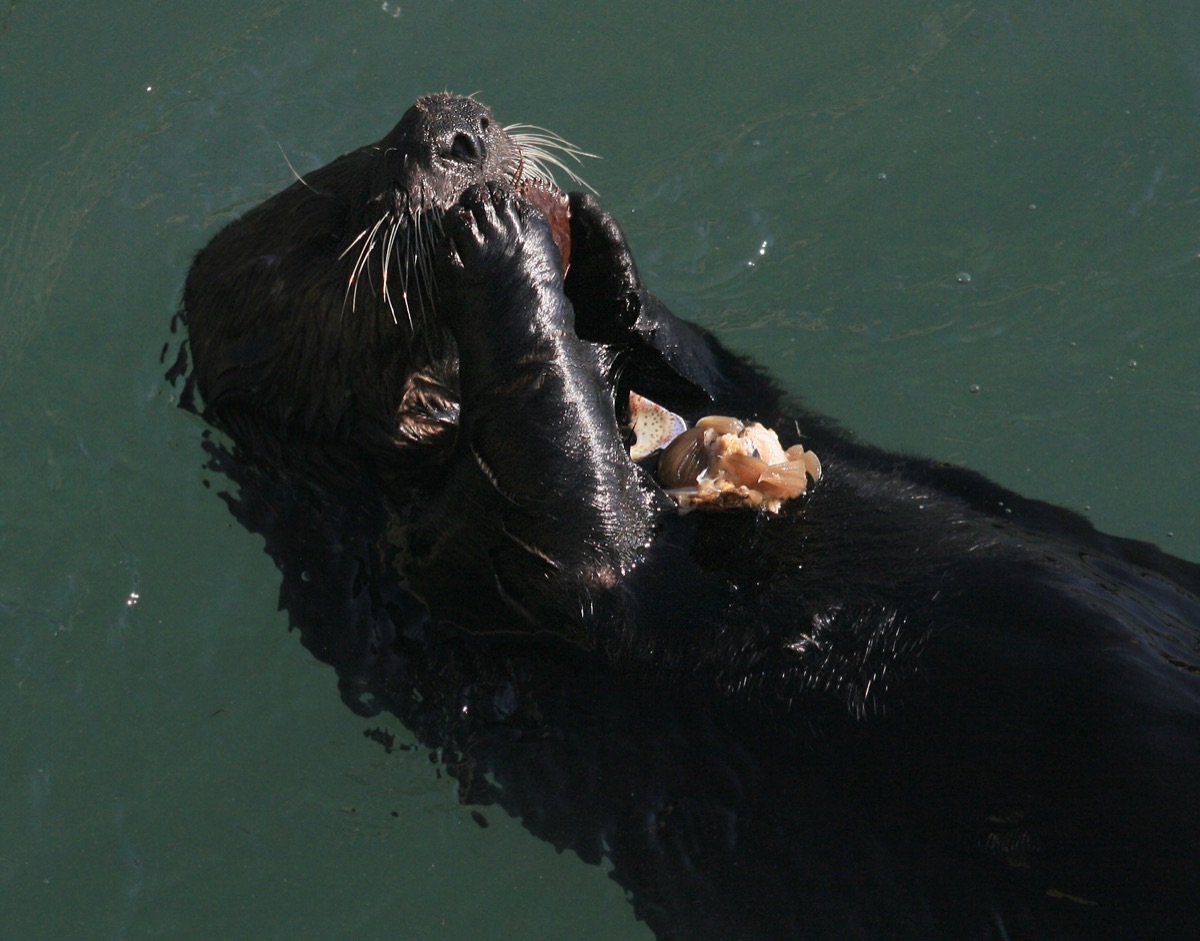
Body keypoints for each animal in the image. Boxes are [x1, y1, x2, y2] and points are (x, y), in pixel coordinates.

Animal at [179, 94, 1200, 939]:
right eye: (339, 208)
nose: (460, 126)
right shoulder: (455, 560)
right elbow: (576, 517)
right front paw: (502, 243)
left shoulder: (731, 403)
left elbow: (722, 384)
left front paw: (595, 246)